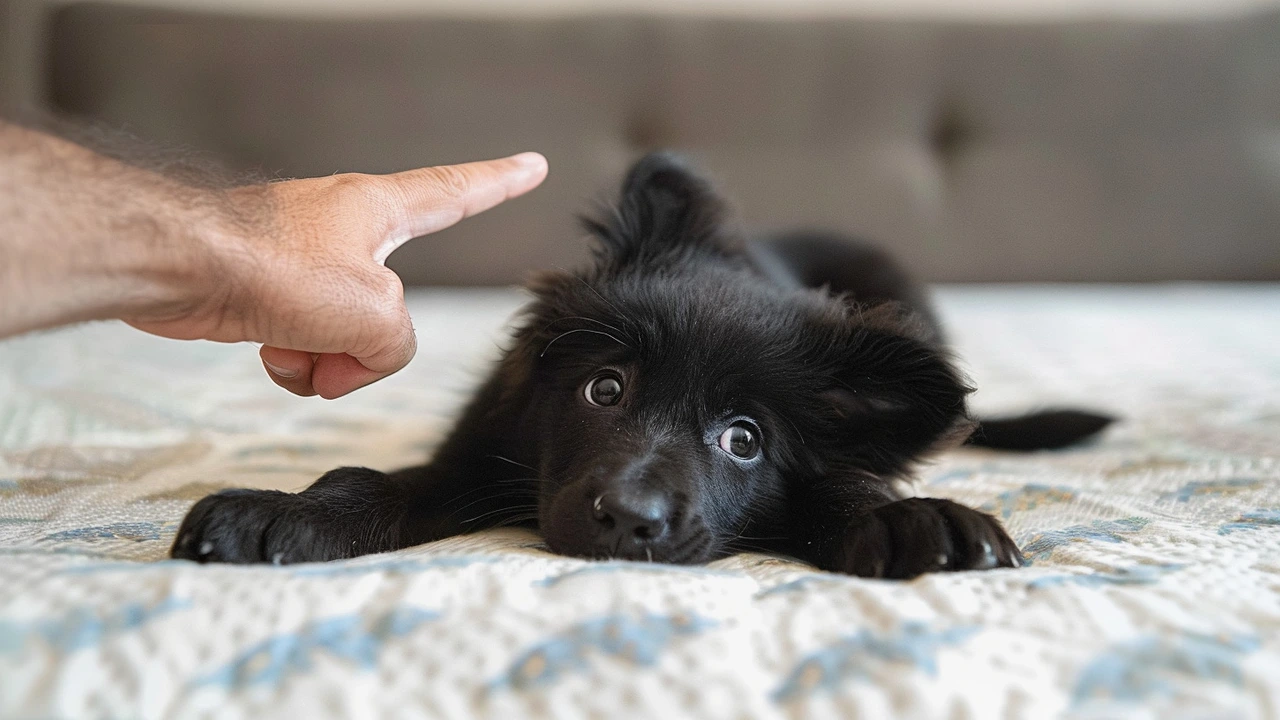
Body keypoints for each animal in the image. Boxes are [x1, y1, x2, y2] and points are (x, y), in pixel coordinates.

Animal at [170, 152, 1111, 576]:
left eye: (744, 440)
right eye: (605, 388)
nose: (628, 520)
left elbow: (843, 488)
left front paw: (914, 521)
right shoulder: (482, 451)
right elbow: (376, 480)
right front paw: (281, 512)